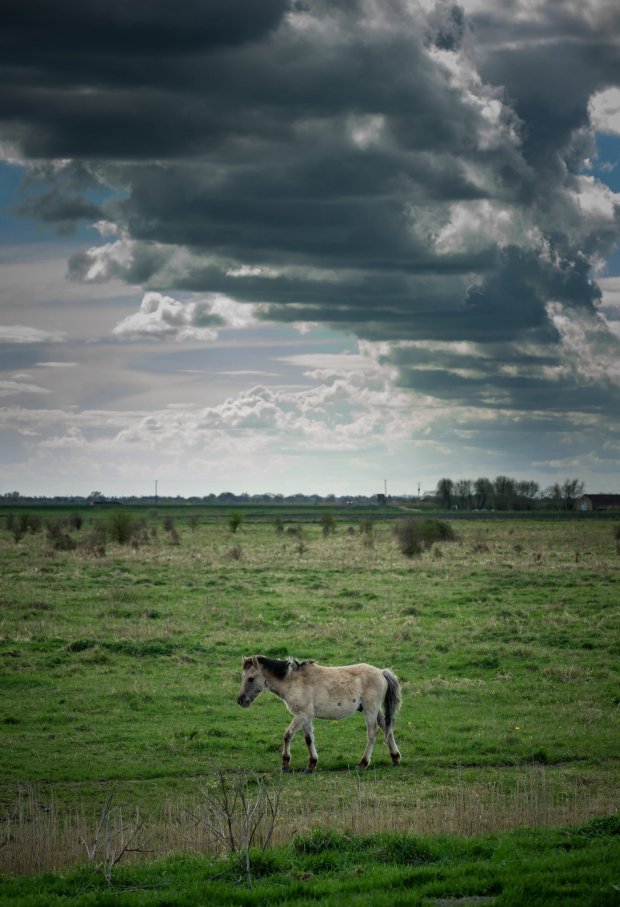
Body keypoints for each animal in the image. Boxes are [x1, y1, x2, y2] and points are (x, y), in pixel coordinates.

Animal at [237, 652, 402, 772]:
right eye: (243, 677)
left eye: (250, 678)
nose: (240, 701)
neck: (293, 681)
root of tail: (381, 672)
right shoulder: (305, 717)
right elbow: (309, 739)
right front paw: (311, 764)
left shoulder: (301, 715)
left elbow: (287, 735)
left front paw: (285, 764)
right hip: (375, 710)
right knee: (387, 728)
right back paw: (395, 758)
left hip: (370, 709)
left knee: (373, 733)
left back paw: (363, 763)